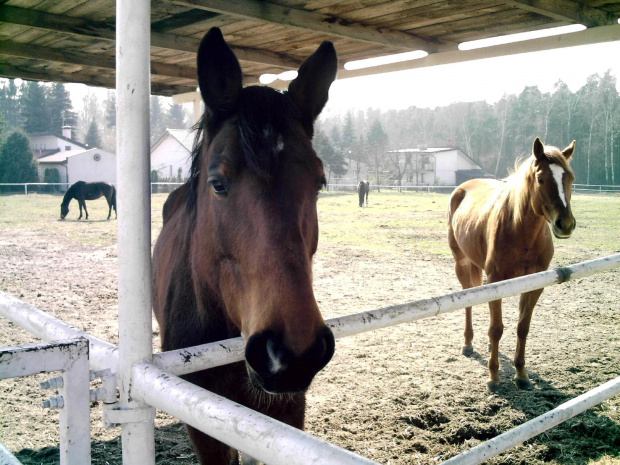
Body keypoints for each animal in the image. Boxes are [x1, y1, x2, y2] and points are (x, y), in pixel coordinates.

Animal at [446, 138, 576, 392]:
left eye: (570, 178)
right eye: (541, 179)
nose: (565, 224)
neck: (520, 230)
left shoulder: (534, 284)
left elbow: (522, 326)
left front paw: (521, 374)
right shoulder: (495, 280)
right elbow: (496, 329)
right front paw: (494, 377)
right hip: (462, 263)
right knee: (468, 299)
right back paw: (468, 343)